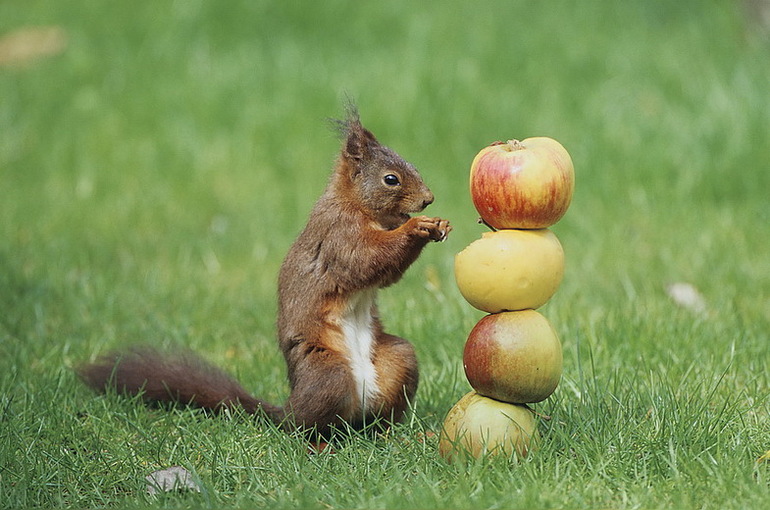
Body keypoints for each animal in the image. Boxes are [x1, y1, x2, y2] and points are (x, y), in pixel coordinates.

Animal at [76, 105, 452, 439]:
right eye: (391, 179)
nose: (429, 199)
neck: (358, 207)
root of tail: (286, 408)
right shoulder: (338, 236)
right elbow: (366, 261)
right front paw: (417, 227)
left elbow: (385, 275)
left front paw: (438, 225)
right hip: (329, 376)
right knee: (305, 429)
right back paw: (318, 444)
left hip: (398, 360)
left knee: (373, 421)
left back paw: (397, 436)